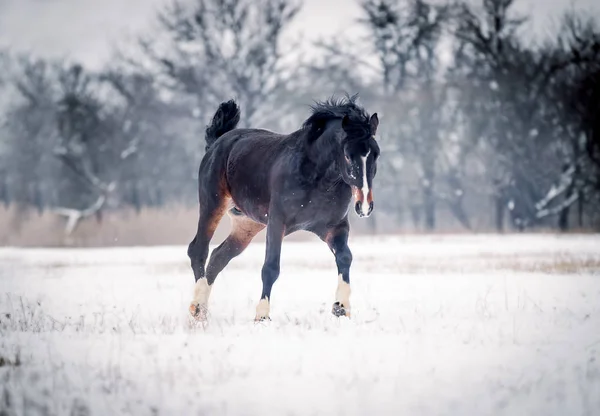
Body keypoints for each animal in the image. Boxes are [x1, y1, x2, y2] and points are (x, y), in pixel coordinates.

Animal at [188, 94, 380, 322]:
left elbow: (345, 257)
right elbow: (271, 267)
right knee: (199, 250)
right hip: (212, 205)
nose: (365, 206)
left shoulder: (334, 227)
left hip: (246, 226)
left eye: (376, 154)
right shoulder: (277, 223)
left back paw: (201, 314)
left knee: (218, 257)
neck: (316, 177)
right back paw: (197, 307)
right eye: (348, 155)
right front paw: (262, 316)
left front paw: (341, 308)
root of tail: (217, 143)